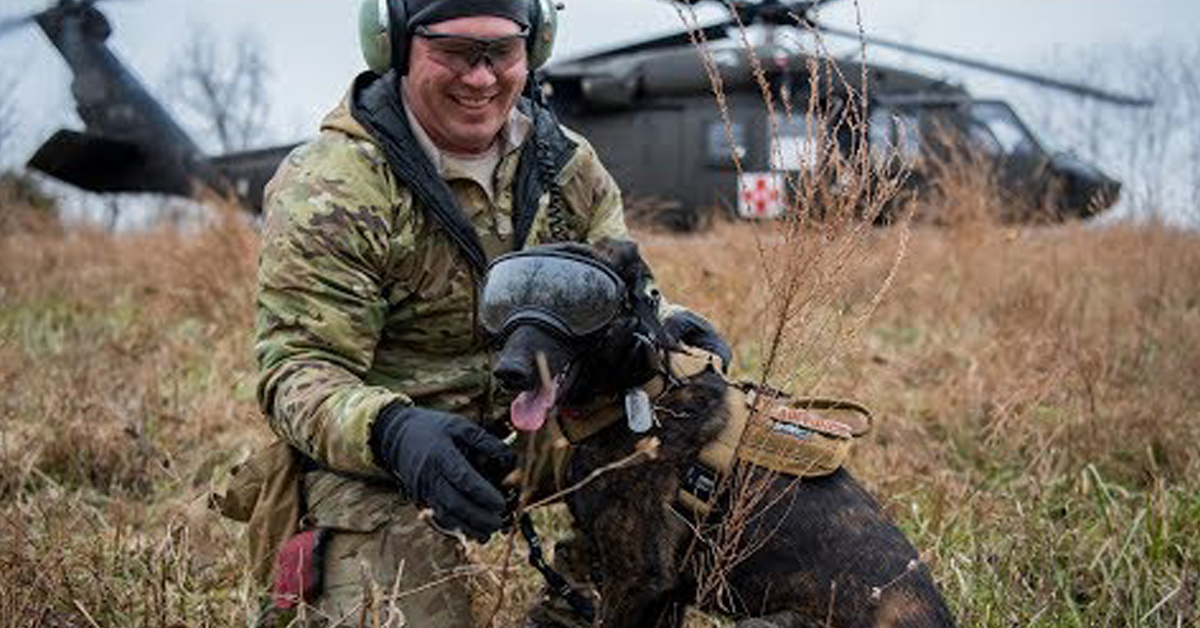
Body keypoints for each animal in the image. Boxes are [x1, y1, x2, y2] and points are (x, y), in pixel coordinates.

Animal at [487, 240, 955, 628]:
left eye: (582, 306)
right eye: (504, 301)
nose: (507, 372)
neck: (639, 392)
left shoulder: (637, 581)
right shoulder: (663, 596)